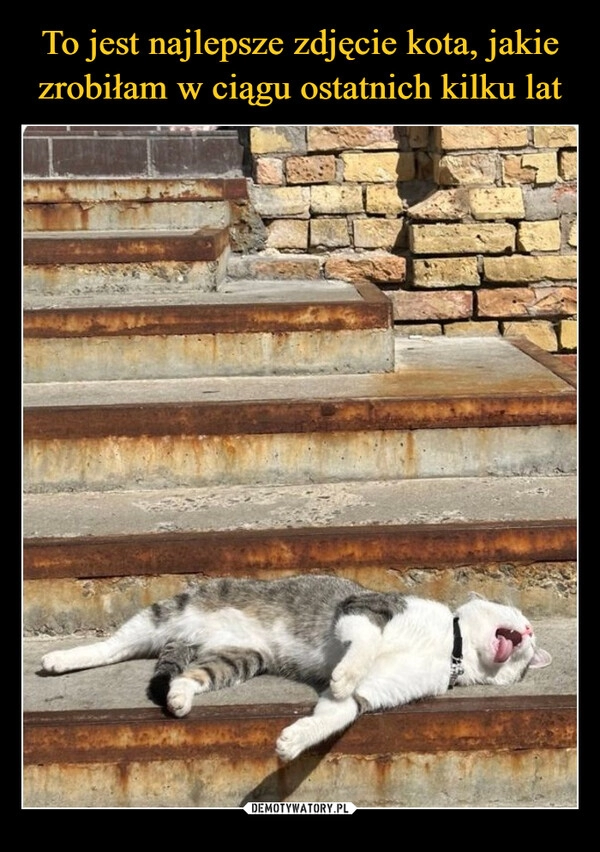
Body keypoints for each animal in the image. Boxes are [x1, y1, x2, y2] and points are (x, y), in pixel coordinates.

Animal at [39, 576, 552, 764]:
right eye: (520, 617)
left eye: (528, 657)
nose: (529, 632)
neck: (450, 647)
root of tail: (196, 634)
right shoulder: (365, 608)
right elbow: (364, 643)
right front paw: (343, 672)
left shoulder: (377, 693)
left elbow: (337, 711)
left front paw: (293, 741)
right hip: (168, 611)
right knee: (114, 645)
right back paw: (61, 659)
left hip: (238, 659)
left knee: (187, 675)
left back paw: (180, 697)